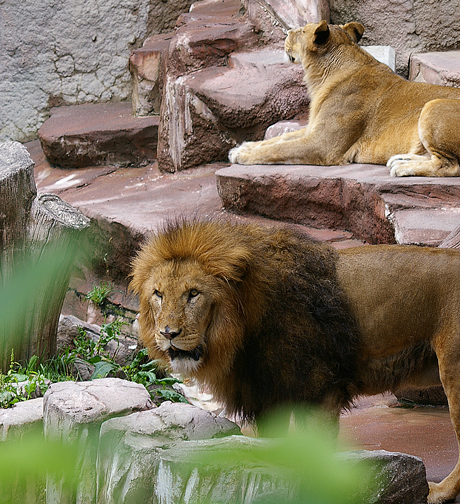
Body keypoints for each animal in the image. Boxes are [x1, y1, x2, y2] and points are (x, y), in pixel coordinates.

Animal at [130, 220, 460, 504]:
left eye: (193, 294)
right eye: (158, 294)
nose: (168, 333)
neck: (242, 327)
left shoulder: (321, 390)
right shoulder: (267, 397)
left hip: (453, 371)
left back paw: (439, 491)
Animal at [229, 22, 460, 179]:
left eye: (301, 31)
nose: (287, 33)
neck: (321, 77)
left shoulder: (323, 145)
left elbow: (278, 149)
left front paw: (243, 155)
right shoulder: (314, 129)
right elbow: (278, 138)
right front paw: (244, 147)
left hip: (433, 105)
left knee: (451, 165)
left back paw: (403, 167)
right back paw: (401, 158)